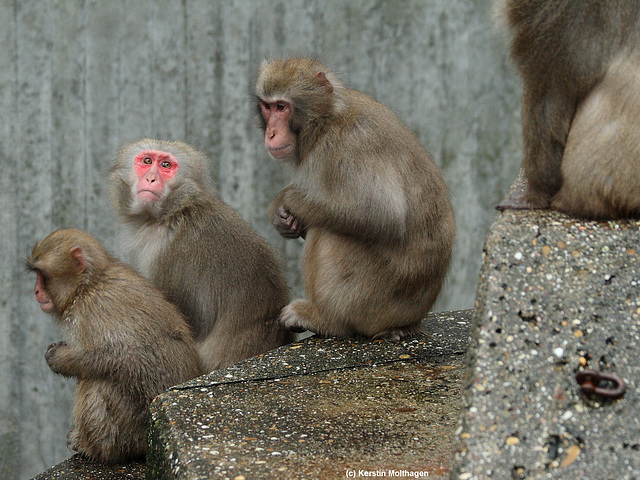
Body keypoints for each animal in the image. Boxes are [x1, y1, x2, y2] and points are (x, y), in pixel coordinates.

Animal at [26, 229, 202, 464]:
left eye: (41, 275)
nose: (36, 291)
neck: (87, 285)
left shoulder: (94, 309)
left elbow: (120, 355)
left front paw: (58, 358)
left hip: (127, 431)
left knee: (97, 379)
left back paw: (94, 449)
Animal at [254, 57, 456, 342]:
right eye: (267, 106)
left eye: (282, 107)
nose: (270, 133)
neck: (325, 121)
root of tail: (409, 321)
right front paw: (281, 216)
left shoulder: (345, 146)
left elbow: (380, 214)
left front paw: (288, 200)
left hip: (369, 301)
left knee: (329, 232)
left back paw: (325, 319)